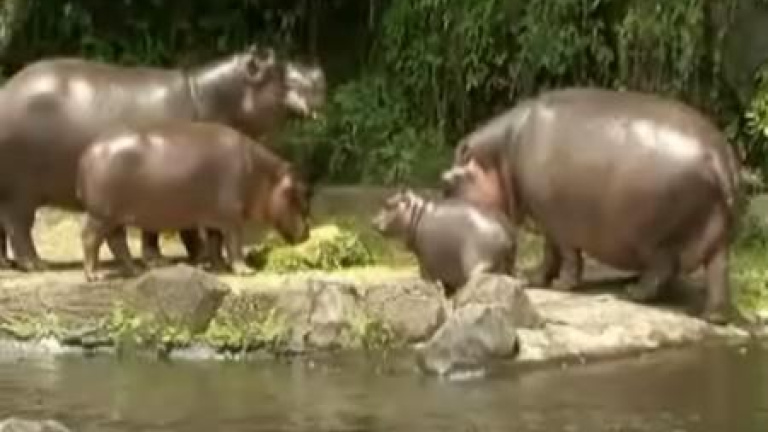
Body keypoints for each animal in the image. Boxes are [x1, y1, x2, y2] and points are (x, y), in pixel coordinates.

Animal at [77, 120, 311, 281]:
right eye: (301, 193)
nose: (308, 234)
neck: (262, 176)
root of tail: (87, 154)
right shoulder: (232, 218)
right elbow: (234, 243)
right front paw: (246, 271)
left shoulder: (217, 217)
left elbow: (216, 243)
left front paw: (219, 267)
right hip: (101, 214)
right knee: (90, 239)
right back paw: (94, 276)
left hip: (114, 217)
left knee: (116, 243)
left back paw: (136, 271)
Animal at [371, 189, 515, 305]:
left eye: (389, 204)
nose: (373, 222)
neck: (417, 214)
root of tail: (505, 236)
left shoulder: (426, 263)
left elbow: (426, 279)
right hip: (508, 267)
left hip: (478, 267)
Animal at [441, 87, 741, 324]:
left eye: (446, 180)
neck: (500, 155)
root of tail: (719, 157)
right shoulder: (548, 220)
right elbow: (551, 255)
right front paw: (532, 279)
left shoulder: (555, 220)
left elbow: (564, 255)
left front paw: (560, 285)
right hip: (717, 235)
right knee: (718, 271)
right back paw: (714, 317)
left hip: (655, 236)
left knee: (662, 269)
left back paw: (633, 293)